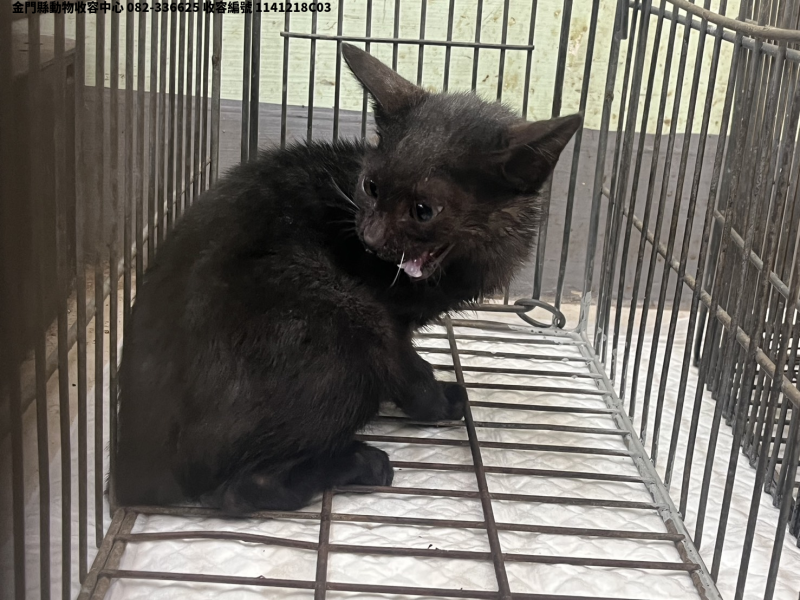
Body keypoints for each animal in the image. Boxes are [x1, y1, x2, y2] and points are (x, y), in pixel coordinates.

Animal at [112, 43, 581, 514]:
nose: (368, 238)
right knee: (238, 491)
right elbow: (408, 370)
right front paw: (436, 401)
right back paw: (358, 463)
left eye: (423, 211)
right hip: (350, 315)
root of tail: (132, 476)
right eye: (370, 186)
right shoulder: (387, 321)